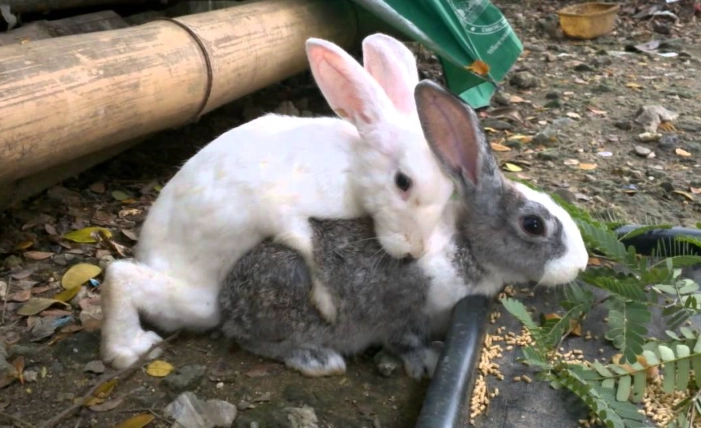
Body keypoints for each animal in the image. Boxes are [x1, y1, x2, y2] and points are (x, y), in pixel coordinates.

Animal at [99, 34, 455, 369]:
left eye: (449, 190)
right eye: (402, 182)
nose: (415, 252)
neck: (352, 166)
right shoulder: (282, 209)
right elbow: (305, 245)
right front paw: (326, 304)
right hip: (195, 302)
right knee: (120, 276)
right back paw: (128, 349)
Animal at [217, 79, 590, 379]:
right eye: (533, 224)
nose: (581, 265)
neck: (466, 247)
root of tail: (227, 306)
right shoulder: (401, 310)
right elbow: (404, 340)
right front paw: (429, 361)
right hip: (291, 288)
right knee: (256, 341)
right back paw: (317, 360)